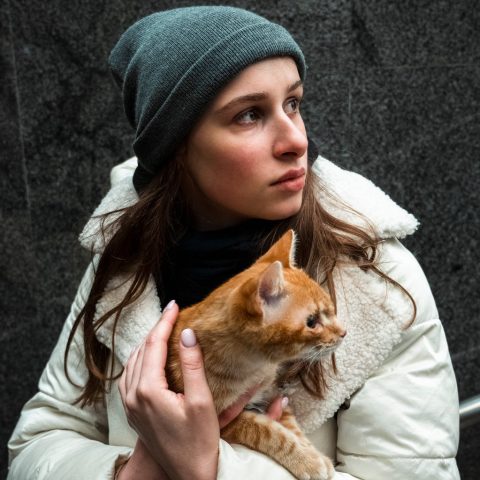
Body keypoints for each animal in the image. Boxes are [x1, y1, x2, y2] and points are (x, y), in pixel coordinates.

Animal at [166, 231, 344, 478]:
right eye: (312, 322)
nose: (343, 332)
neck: (255, 368)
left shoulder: (273, 393)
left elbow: (293, 429)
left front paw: (313, 455)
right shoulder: (222, 422)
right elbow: (271, 433)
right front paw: (308, 462)